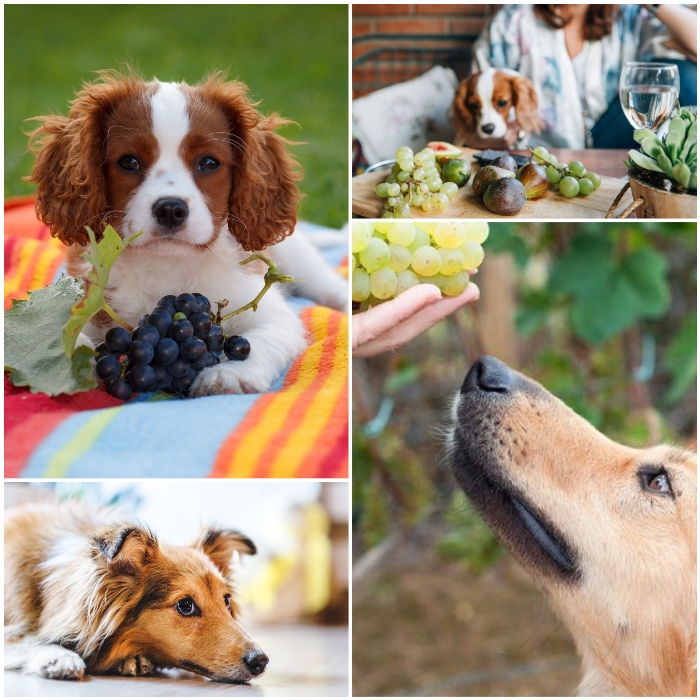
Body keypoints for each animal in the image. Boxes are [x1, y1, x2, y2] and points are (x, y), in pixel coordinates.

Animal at [26, 68, 346, 396]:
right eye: (129, 162)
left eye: (209, 163)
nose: (170, 209)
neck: (167, 263)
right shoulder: (86, 298)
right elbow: (59, 332)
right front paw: (72, 361)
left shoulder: (273, 315)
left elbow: (261, 339)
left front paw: (230, 374)